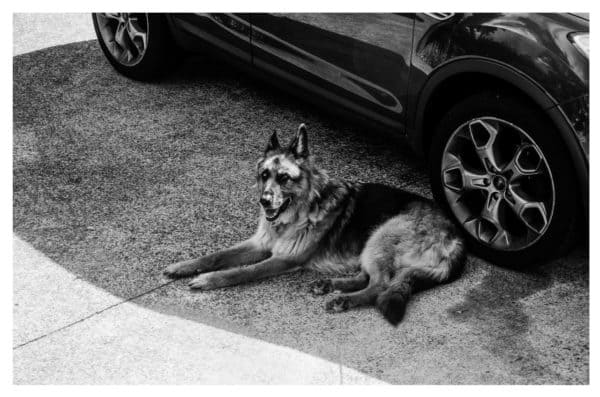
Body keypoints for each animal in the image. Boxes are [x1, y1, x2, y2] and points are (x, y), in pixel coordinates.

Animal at [163, 124, 464, 324]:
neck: (298, 212)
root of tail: (456, 236)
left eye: (284, 178)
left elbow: (241, 272)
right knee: (369, 277)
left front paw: (210, 280)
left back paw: (344, 299)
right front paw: (184, 266)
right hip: (372, 244)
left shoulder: (283, 259)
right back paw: (330, 284)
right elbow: (216, 256)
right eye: (264, 175)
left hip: (380, 236)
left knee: (381, 284)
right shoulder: (259, 244)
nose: (264, 201)